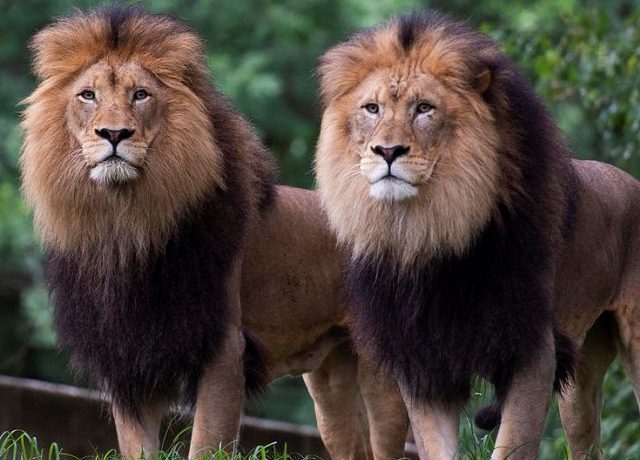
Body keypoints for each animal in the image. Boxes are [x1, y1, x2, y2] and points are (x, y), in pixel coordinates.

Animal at [21, 6, 409, 459]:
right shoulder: (129, 356)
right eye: (87, 95)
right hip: (330, 382)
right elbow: (137, 447)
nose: (114, 134)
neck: (126, 224)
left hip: (379, 375)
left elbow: (207, 442)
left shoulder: (223, 348)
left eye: (141, 95)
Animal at [315, 12, 640, 460]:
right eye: (372, 108)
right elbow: (436, 447)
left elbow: (512, 445)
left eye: (424, 109)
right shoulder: (424, 358)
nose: (388, 152)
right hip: (581, 375)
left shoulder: (533, 350)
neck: (429, 233)